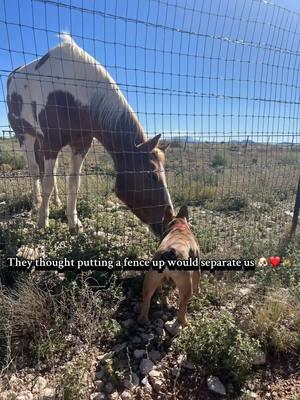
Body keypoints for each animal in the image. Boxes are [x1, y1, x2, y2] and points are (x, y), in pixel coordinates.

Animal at [7, 34, 172, 236]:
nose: (169, 222)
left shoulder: (81, 144)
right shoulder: (52, 143)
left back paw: (56, 202)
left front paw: (74, 223)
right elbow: (47, 182)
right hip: (25, 136)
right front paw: (42, 221)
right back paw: (35, 205)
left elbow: (73, 183)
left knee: (48, 171)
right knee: (34, 170)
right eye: (152, 175)